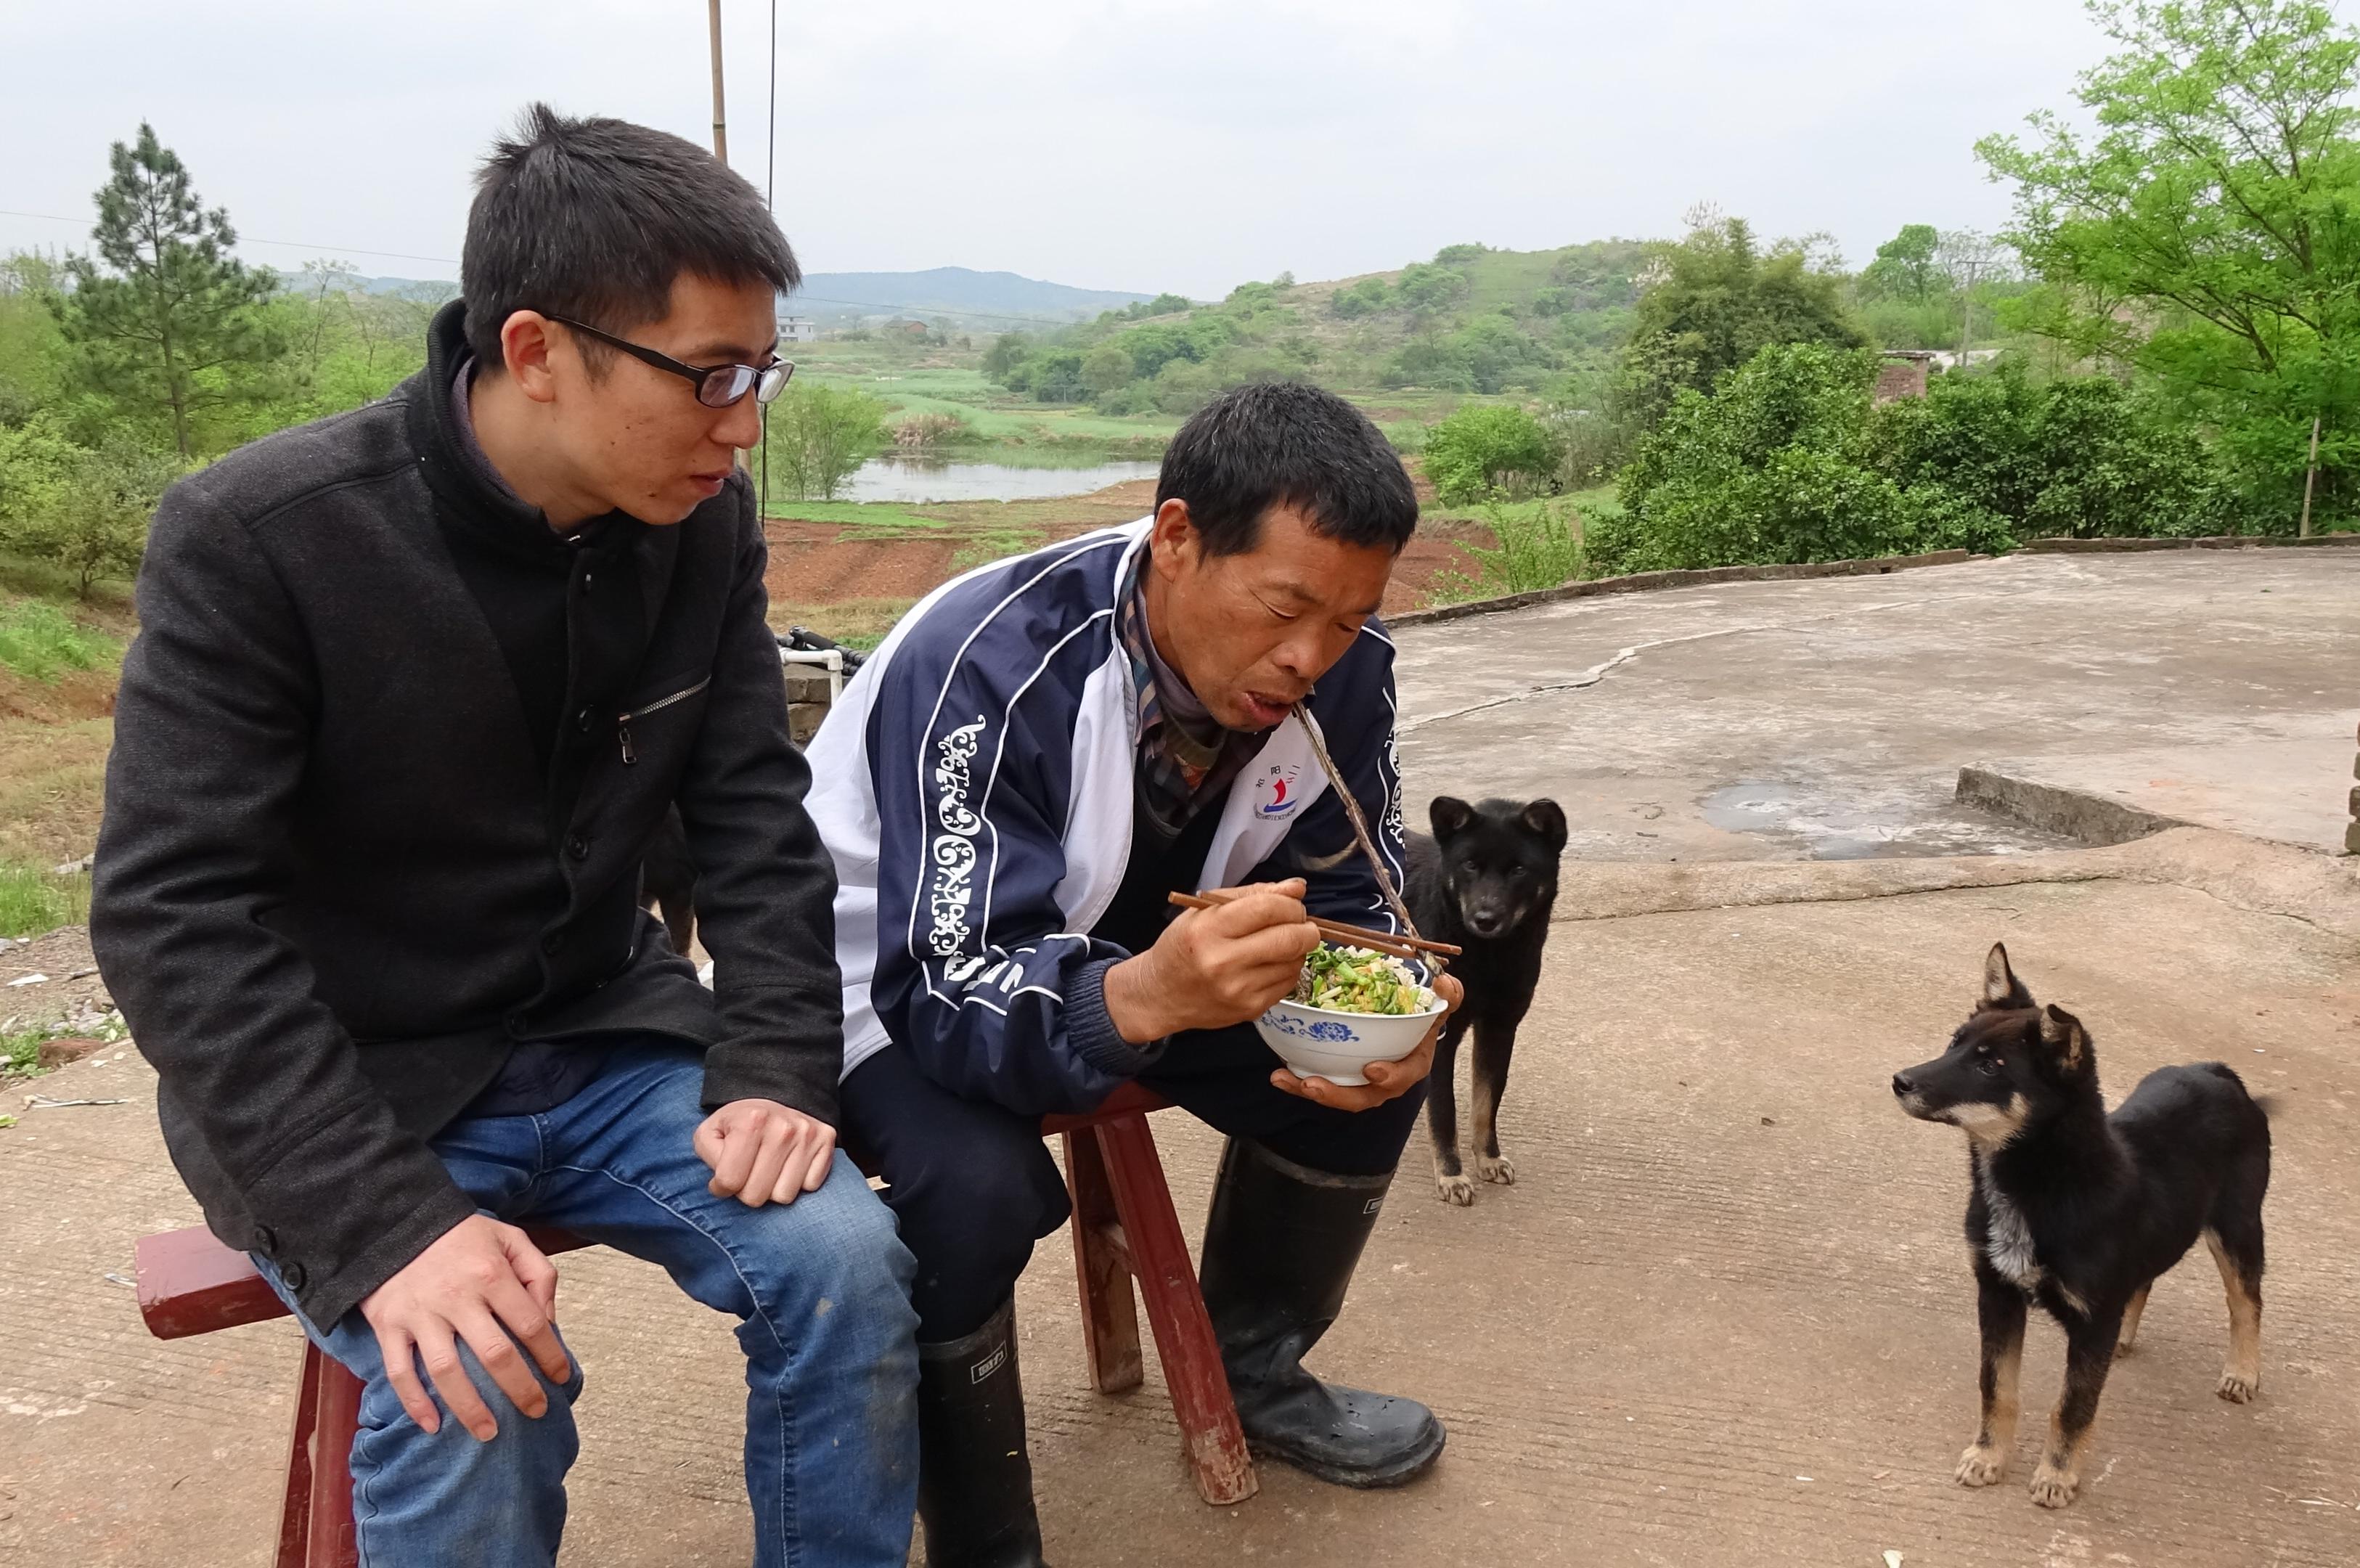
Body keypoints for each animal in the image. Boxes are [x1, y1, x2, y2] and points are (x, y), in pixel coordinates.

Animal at [1397, 803, 1567, 1204]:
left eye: (1519, 869)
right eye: (1470, 865)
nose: (1485, 919)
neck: (1488, 955)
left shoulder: (1500, 1027)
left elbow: (1486, 1103)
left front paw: (1488, 1158)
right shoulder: (1441, 1035)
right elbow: (1444, 1113)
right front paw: (1451, 1175)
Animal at [1897, 944, 2265, 1511]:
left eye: (1989, 1066)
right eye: (1953, 1044)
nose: (1899, 1081)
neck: (2041, 1186)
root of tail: (2218, 1072)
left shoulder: (2090, 1319)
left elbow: (2072, 1405)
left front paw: (2057, 1475)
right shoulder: (1997, 1295)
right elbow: (1997, 1388)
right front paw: (1988, 1457)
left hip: (2238, 1226)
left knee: (2246, 1302)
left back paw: (2242, 1372)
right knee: (2146, 1280)